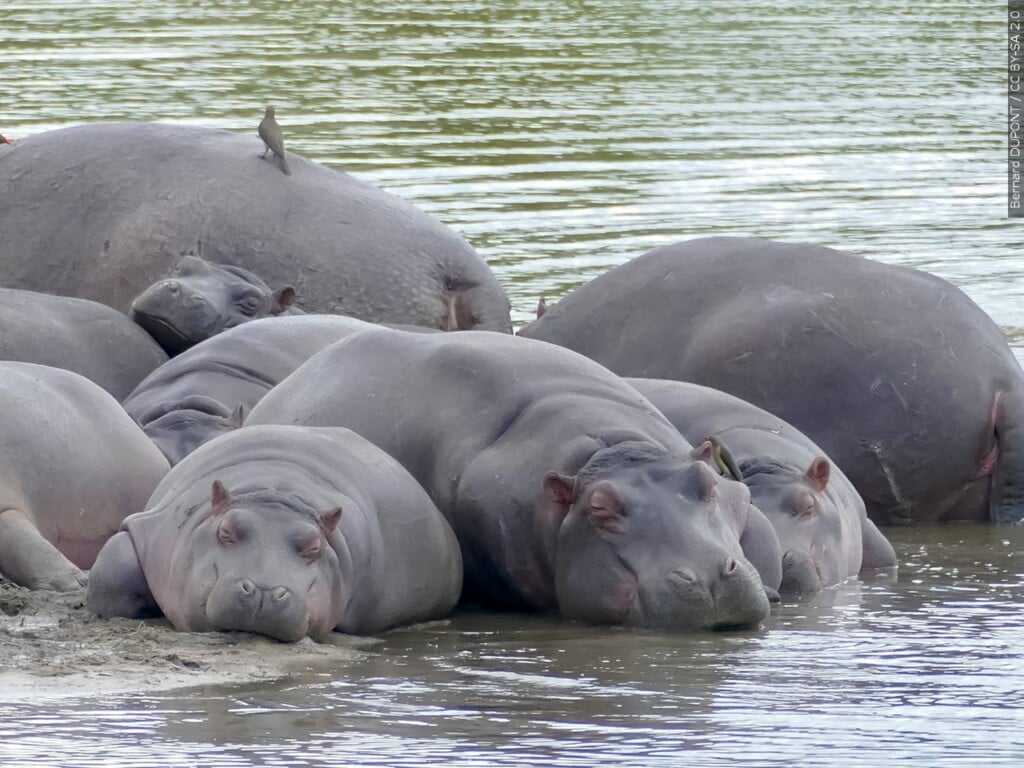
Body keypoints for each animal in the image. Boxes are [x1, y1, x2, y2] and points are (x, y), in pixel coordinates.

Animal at [87, 425, 462, 641]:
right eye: (226, 530)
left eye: (313, 547)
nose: (265, 590)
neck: (276, 492)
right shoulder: (153, 527)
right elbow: (112, 570)